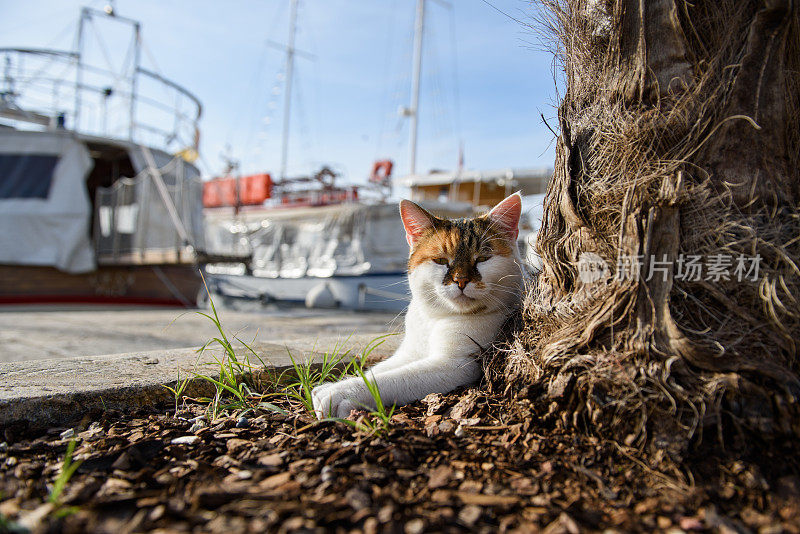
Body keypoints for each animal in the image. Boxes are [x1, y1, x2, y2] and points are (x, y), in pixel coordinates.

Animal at [308, 194, 524, 422]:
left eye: (483, 258)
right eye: (440, 260)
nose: (461, 281)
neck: (435, 318)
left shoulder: (457, 365)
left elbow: (390, 379)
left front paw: (339, 392)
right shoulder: (408, 353)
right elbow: (377, 370)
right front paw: (335, 385)